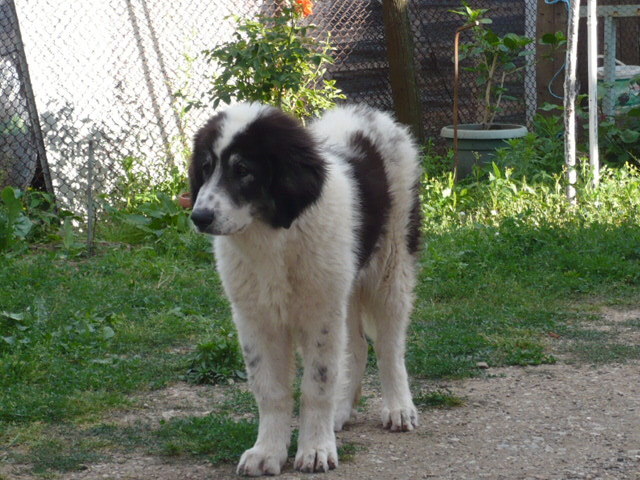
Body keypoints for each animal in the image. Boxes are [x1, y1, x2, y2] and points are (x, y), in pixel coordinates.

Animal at [188, 103, 422, 474]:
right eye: (206, 167)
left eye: (243, 170)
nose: (200, 217)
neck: (273, 237)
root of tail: (366, 111)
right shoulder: (256, 318)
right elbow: (269, 390)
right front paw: (267, 452)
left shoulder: (320, 315)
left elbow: (317, 385)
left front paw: (315, 450)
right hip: (343, 284)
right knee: (357, 347)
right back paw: (342, 410)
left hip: (391, 265)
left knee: (389, 346)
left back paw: (399, 407)